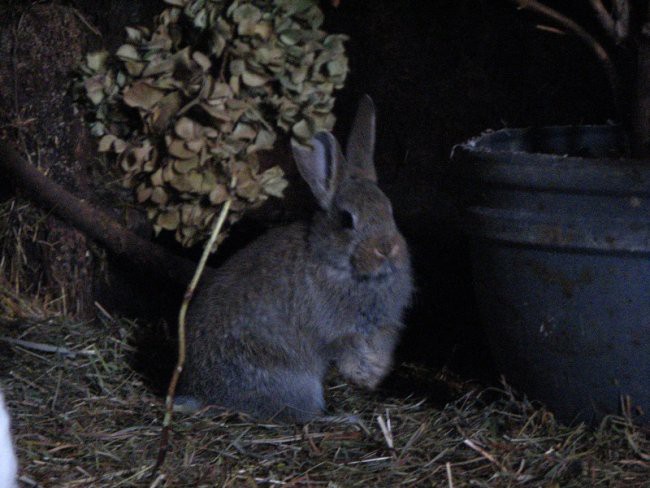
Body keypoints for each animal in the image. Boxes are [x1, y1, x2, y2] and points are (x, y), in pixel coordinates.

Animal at [177, 96, 410, 424]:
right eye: (346, 220)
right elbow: (349, 351)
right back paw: (342, 419)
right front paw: (364, 378)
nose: (386, 249)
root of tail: (202, 394)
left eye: (389, 210)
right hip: (295, 382)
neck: (337, 263)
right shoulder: (340, 332)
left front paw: (373, 377)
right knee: (302, 417)